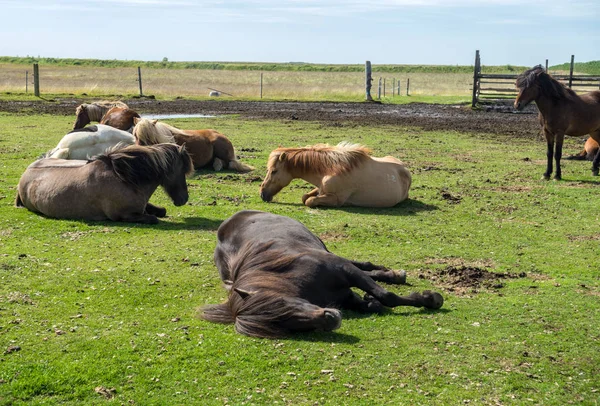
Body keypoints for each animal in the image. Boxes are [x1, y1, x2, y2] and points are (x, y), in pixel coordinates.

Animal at [202, 211, 440, 338]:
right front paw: (370, 300)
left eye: (281, 304)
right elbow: (374, 303)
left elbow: (386, 296)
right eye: (280, 326)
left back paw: (396, 275)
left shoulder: (342, 268)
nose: (330, 319)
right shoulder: (344, 294)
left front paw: (429, 298)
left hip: (325, 248)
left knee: (362, 264)